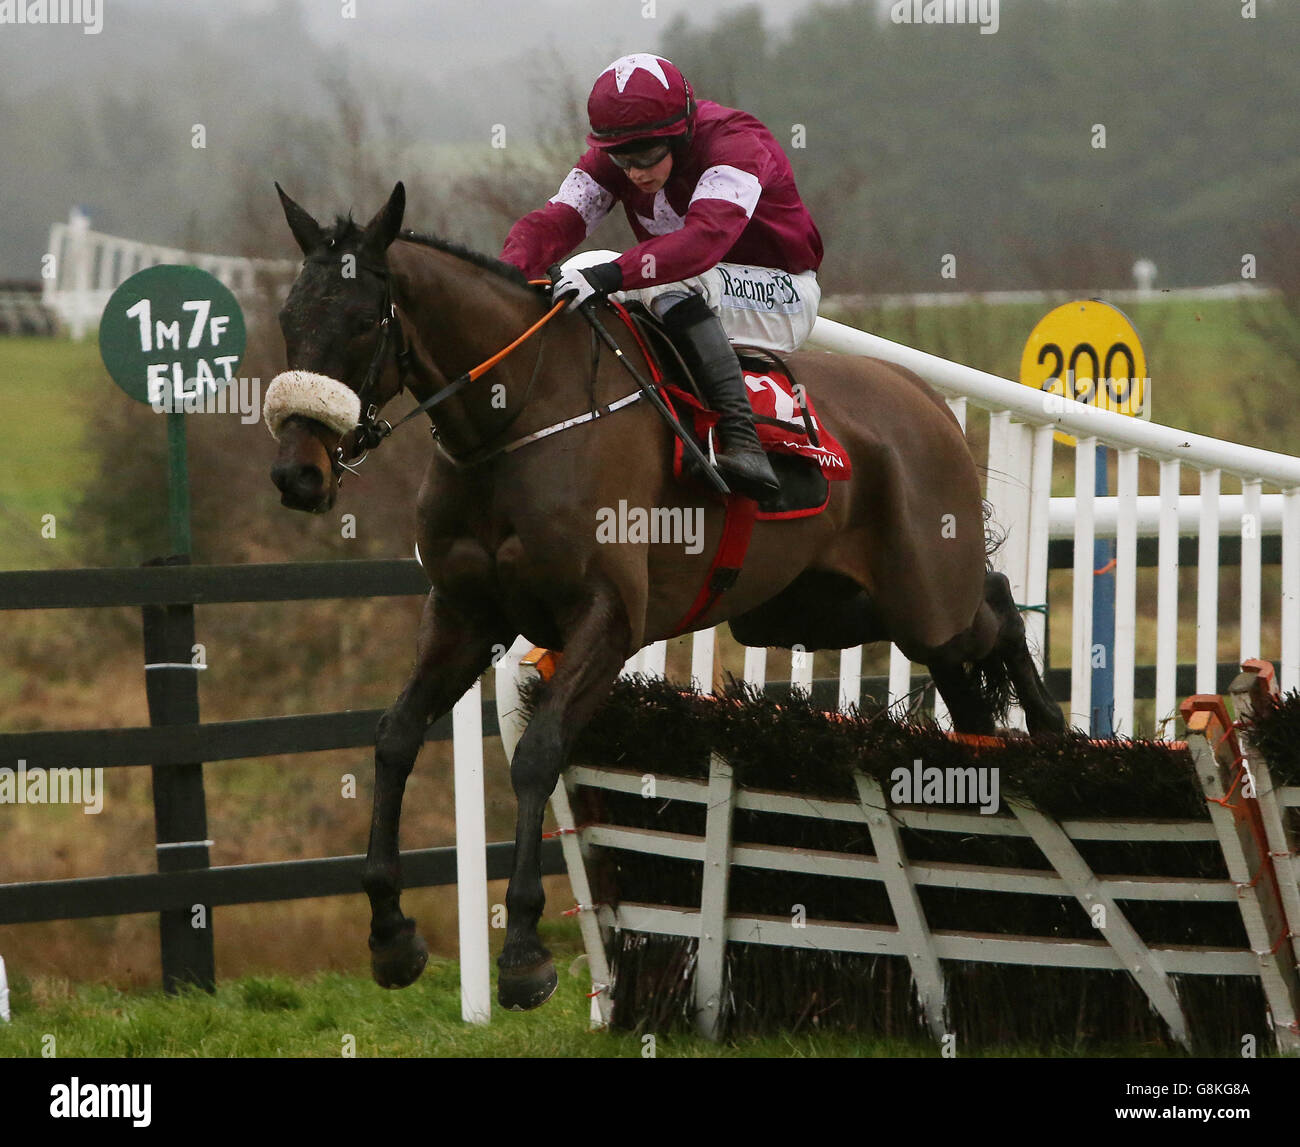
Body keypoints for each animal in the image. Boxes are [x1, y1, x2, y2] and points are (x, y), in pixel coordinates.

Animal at [266, 180, 1066, 1009]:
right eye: (290, 319)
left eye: (362, 321)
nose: (298, 473)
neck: (517, 417)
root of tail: (926, 399)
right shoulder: (462, 613)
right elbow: (394, 736)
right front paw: (391, 931)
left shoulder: (607, 618)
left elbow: (538, 753)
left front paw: (522, 949)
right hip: (817, 606)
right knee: (971, 652)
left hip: (924, 594)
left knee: (995, 613)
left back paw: (1051, 734)